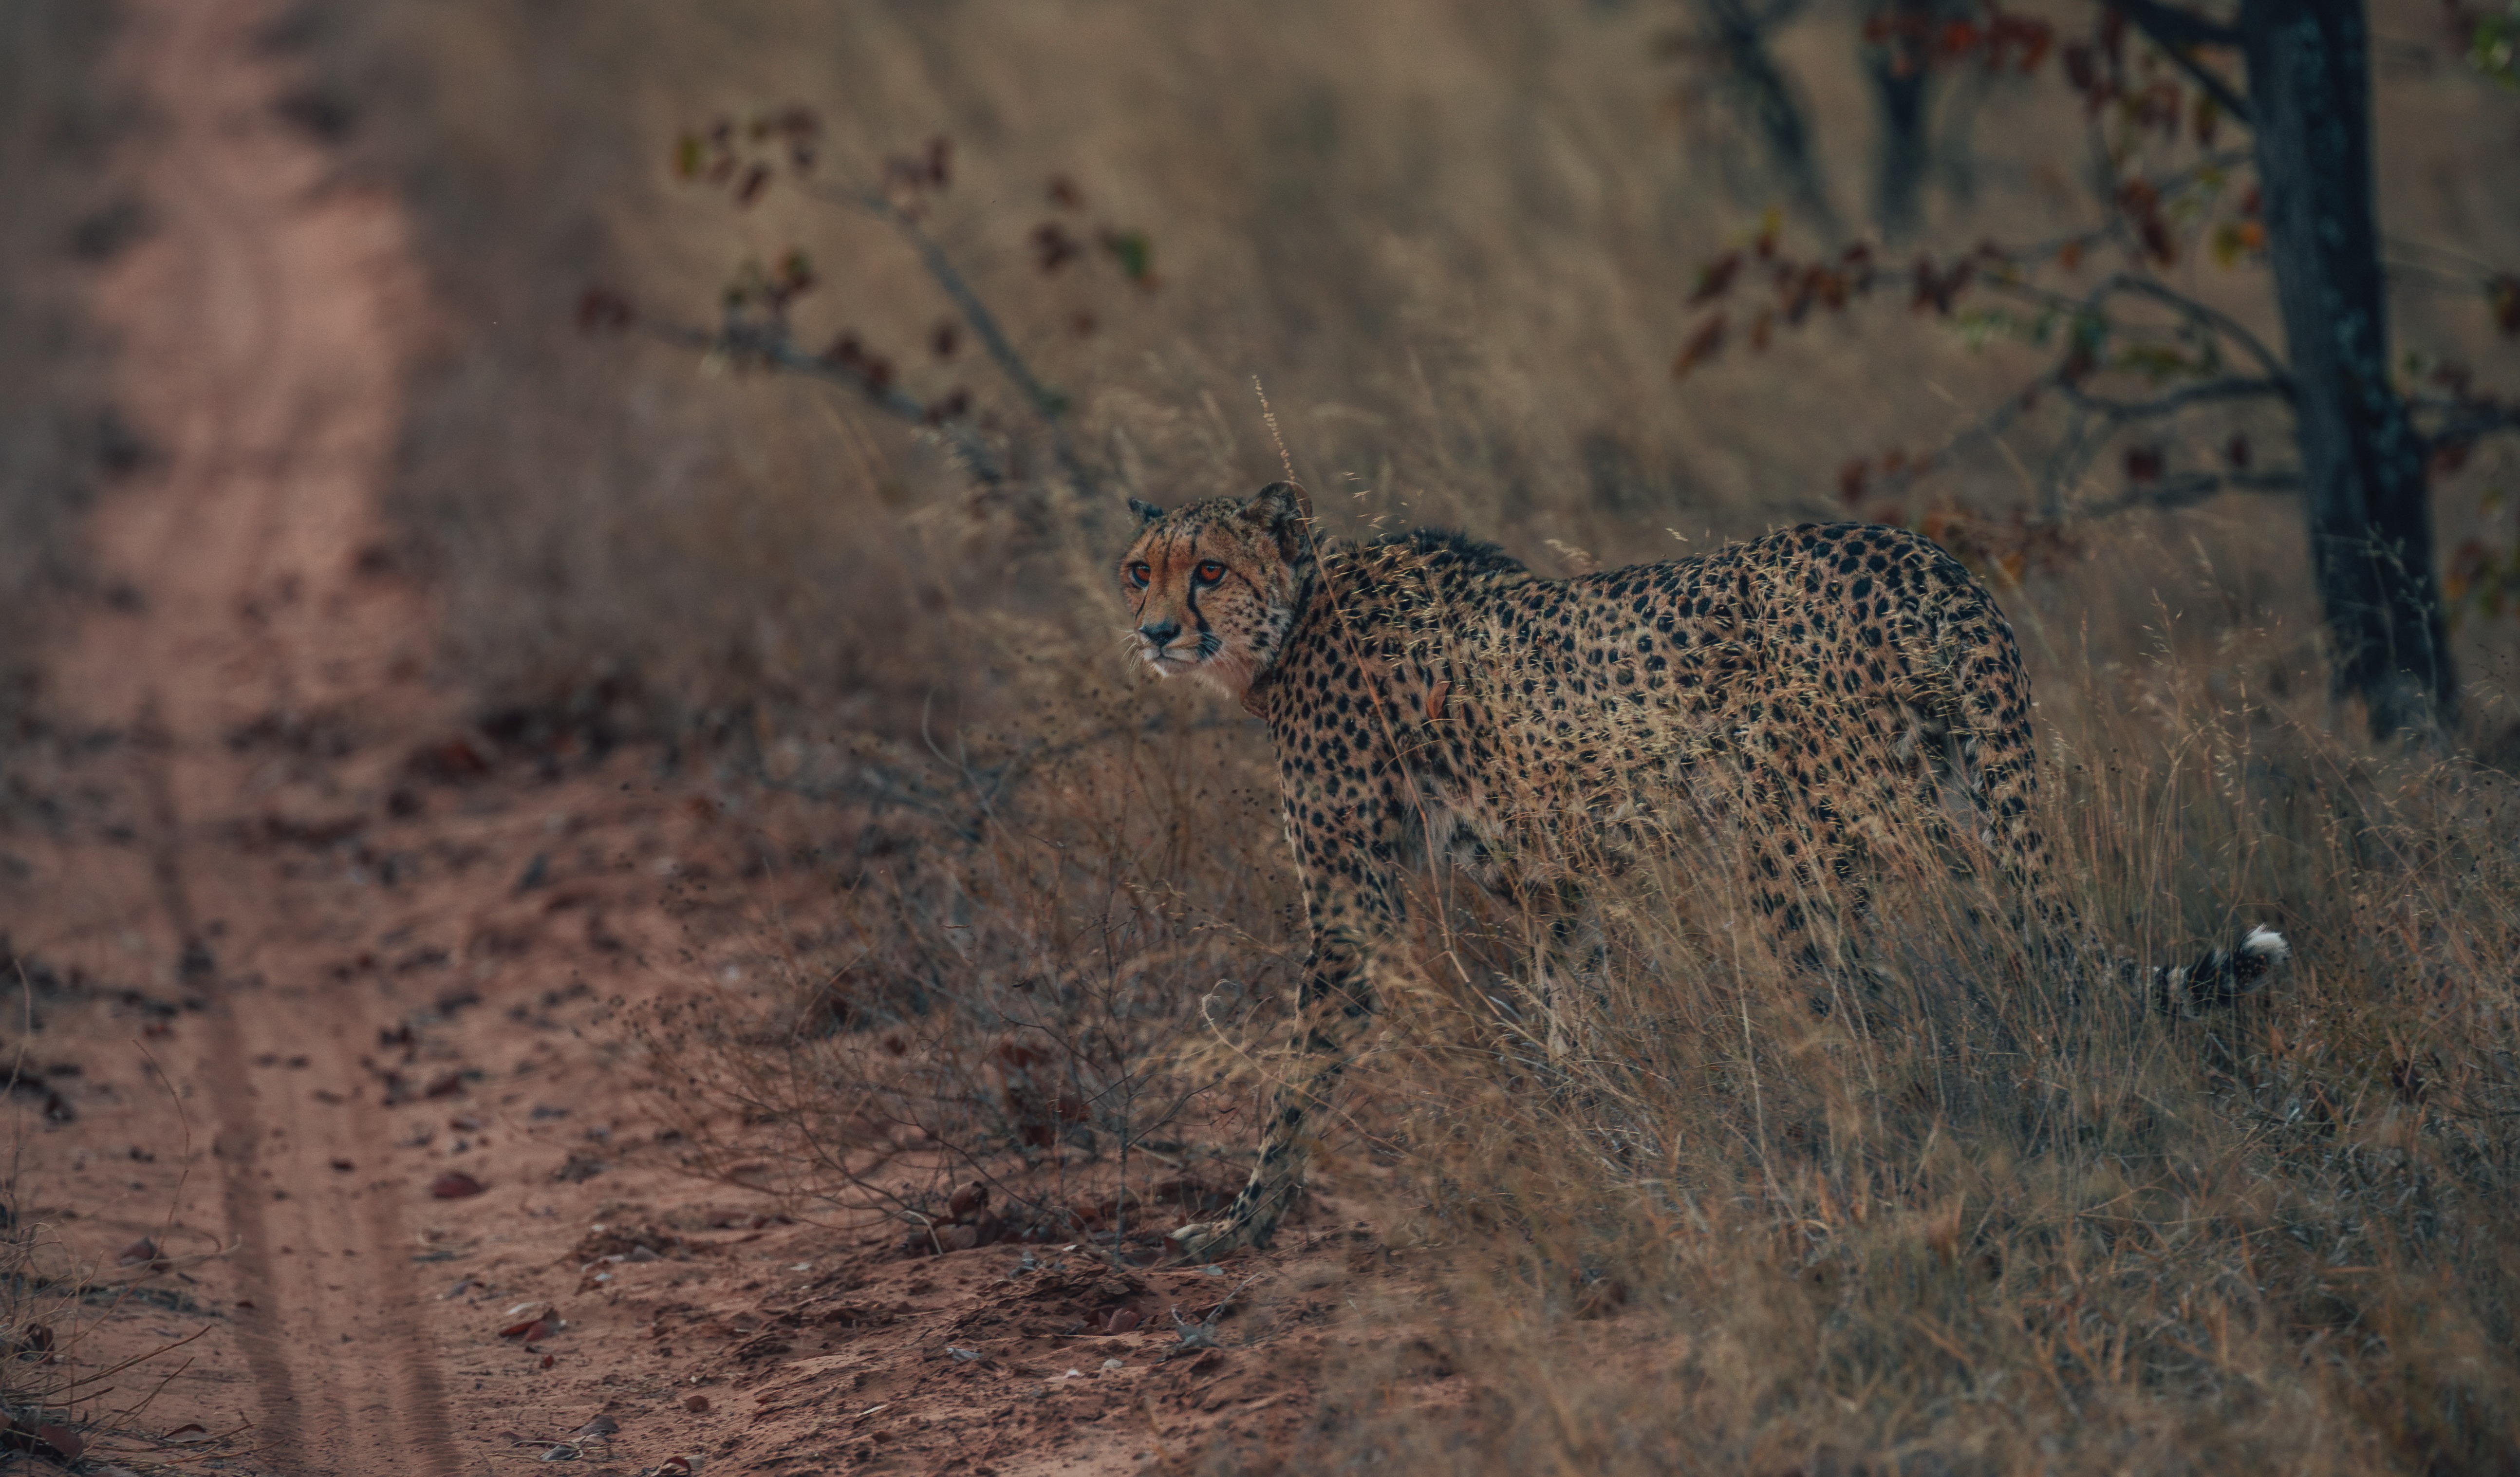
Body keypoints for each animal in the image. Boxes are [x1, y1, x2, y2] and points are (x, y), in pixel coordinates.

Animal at [1117, 480, 2288, 1260]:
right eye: (1140, 568)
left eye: (1209, 568)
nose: (1153, 631)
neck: (1296, 615)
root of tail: (1915, 553)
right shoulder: (1558, 884)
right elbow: (1570, 1023)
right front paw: (1603, 1147)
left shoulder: (1352, 908)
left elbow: (1300, 1072)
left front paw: (1237, 1223)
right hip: (1953, 818)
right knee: (2012, 978)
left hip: (1802, 842)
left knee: (1871, 1006)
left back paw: (1850, 1174)